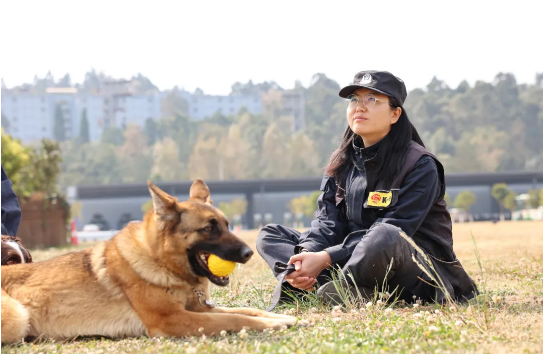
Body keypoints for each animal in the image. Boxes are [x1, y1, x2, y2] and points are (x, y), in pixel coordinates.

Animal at [1, 180, 302, 342]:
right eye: (209, 228)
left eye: (228, 225)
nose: (249, 253)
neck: (161, 263)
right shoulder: (176, 320)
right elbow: (236, 318)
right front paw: (272, 325)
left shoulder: (199, 309)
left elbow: (246, 311)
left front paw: (281, 317)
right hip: (18, 316)